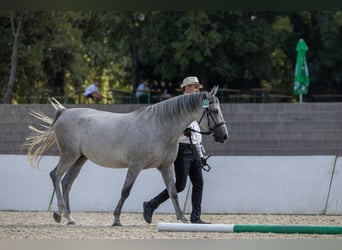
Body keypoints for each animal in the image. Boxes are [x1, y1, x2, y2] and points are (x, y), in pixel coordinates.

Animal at [23, 85, 227, 225]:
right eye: (214, 111)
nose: (223, 136)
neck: (158, 126)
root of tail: (64, 112)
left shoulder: (166, 166)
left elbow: (173, 192)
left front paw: (183, 219)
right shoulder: (135, 166)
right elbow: (125, 191)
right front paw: (116, 219)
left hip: (80, 158)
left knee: (67, 182)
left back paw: (69, 217)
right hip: (69, 155)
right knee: (56, 175)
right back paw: (58, 214)